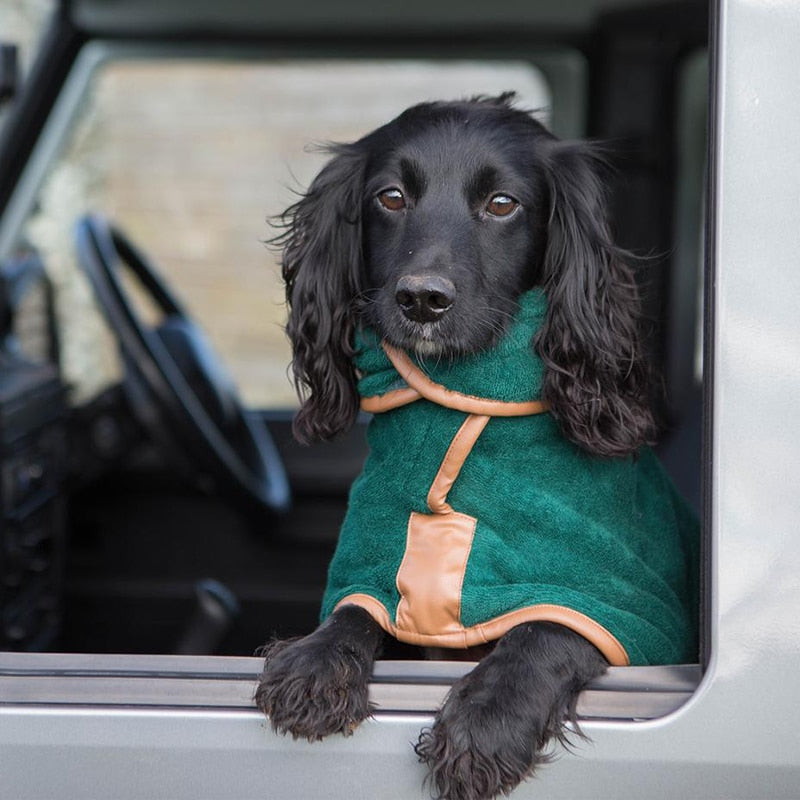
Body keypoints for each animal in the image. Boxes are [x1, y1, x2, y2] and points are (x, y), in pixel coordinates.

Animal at [258, 95, 688, 800]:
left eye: (502, 204)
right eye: (391, 197)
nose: (421, 299)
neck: (463, 404)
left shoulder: (621, 601)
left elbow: (545, 629)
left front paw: (486, 723)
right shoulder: (382, 563)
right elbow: (357, 611)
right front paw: (315, 661)